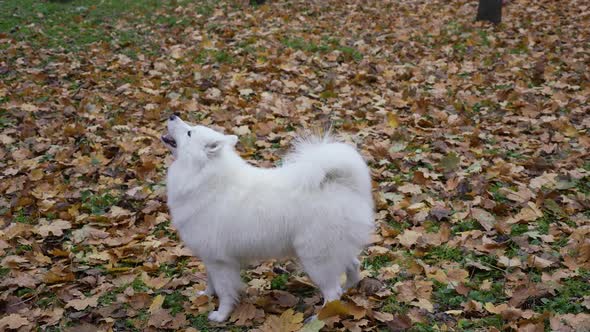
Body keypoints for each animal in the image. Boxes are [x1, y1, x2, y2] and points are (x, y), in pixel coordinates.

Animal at [162, 114, 374, 322]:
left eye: (189, 133)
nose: (172, 115)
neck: (204, 179)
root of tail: (341, 185)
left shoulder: (219, 261)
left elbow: (224, 291)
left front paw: (221, 315)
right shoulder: (209, 257)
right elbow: (210, 282)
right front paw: (204, 296)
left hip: (316, 258)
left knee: (332, 292)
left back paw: (320, 317)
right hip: (336, 249)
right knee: (353, 267)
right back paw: (345, 294)